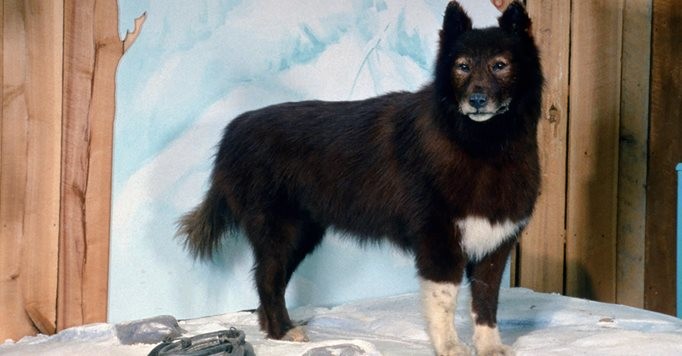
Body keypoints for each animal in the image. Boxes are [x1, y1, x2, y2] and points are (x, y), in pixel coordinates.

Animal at [177, 1, 540, 354]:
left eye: (500, 65)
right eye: (462, 66)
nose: (477, 100)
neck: (481, 145)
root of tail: (233, 131)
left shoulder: (494, 246)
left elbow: (486, 302)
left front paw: (490, 347)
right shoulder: (439, 242)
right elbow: (443, 302)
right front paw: (450, 347)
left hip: (302, 233)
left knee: (270, 283)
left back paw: (276, 331)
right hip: (280, 231)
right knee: (267, 280)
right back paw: (285, 332)